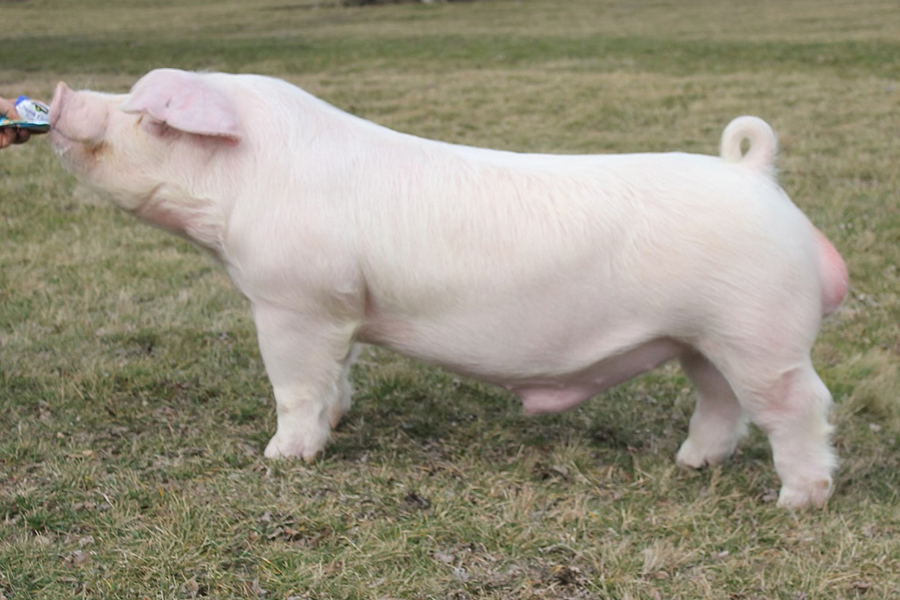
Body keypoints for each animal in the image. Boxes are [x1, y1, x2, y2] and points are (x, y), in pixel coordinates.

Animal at [49, 68, 848, 509]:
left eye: (142, 112)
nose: (59, 95)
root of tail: (753, 174)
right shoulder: (341, 310)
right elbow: (339, 375)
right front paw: (338, 422)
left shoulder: (292, 300)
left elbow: (295, 385)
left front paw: (279, 458)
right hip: (701, 336)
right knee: (721, 400)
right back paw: (689, 465)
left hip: (759, 329)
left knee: (799, 405)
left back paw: (797, 502)